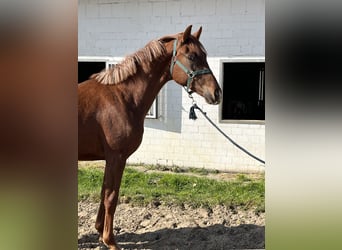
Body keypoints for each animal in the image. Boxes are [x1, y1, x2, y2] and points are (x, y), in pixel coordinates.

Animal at [78, 25, 222, 250]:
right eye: (192, 56)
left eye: (205, 56)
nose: (216, 93)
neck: (121, 96)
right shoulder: (117, 157)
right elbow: (111, 197)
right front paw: (110, 241)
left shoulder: (110, 159)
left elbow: (104, 193)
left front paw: (100, 232)